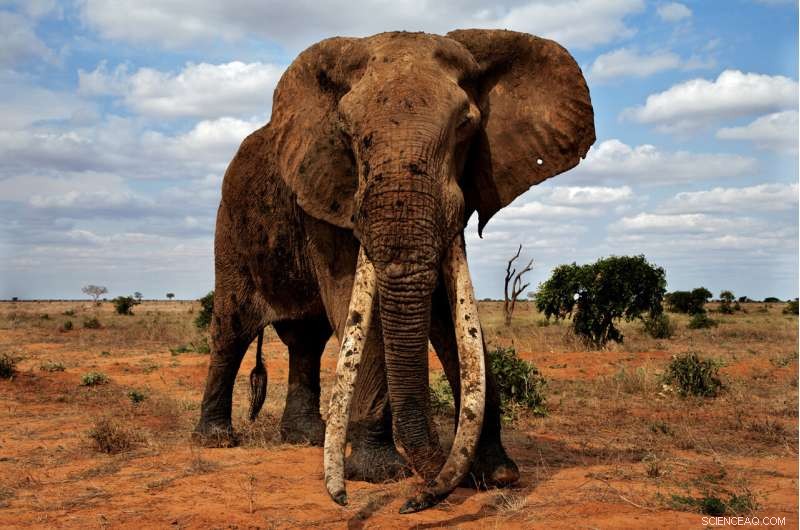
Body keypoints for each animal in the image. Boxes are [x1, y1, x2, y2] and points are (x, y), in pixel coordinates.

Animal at [194, 29, 595, 512]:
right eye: (346, 132)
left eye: (466, 126)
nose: (416, 499)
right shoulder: (328, 195)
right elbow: (354, 301)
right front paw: (381, 474)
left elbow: (448, 313)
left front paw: (497, 475)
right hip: (230, 227)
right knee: (232, 328)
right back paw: (216, 440)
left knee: (306, 340)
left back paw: (307, 438)